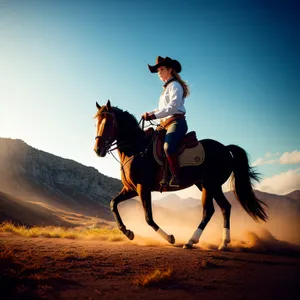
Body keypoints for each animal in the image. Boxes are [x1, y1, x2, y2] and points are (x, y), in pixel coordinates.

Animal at [94, 99, 268, 250]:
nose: (98, 150)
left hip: (211, 184)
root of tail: (225, 148)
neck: (137, 148)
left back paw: (192, 241)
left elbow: (148, 218)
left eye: (108, 123)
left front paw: (170, 238)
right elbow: (113, 203)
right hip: (207, 185)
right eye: (96, 123)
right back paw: (221, 243)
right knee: (223, 208)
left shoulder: (143, 187)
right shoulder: (131, 189)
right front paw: (127, 232)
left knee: (210, 210)